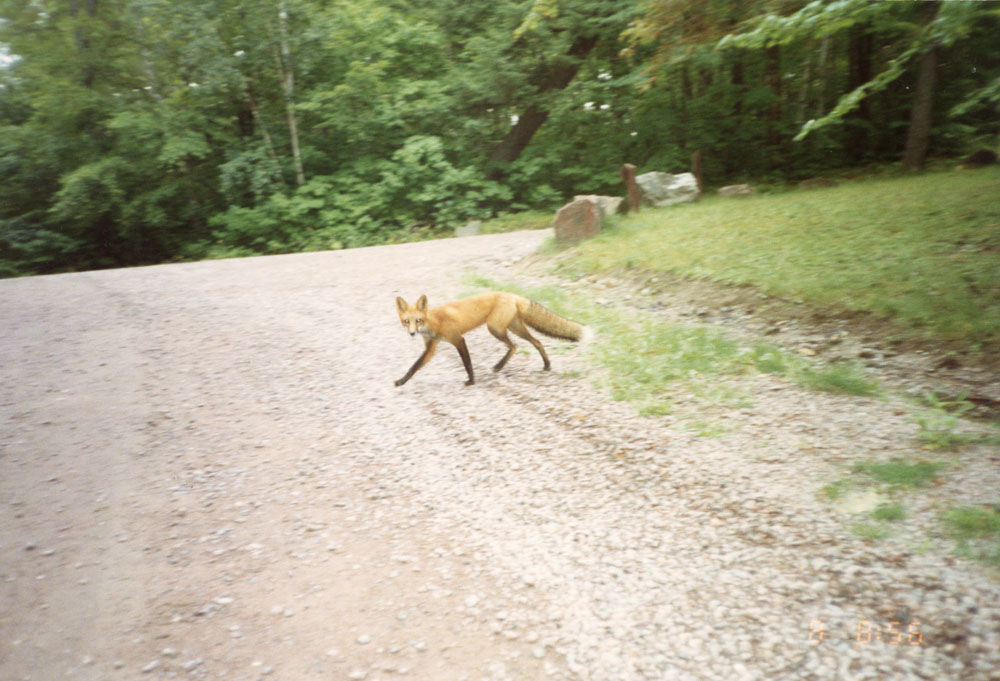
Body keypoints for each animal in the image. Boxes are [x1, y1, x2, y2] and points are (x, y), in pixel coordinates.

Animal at [394, 292, 584, 386]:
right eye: (406, 321)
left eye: (418, 320)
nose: (412, 333)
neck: (433, 321)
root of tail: (512, 294)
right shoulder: (431, 347)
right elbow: (414, 367)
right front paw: (402, 381)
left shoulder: (458, 339)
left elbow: (467, 364)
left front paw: (471, 381)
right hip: (513, 328)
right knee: (532, 343)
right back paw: (544, 365)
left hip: (495, 328)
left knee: (515, 345)